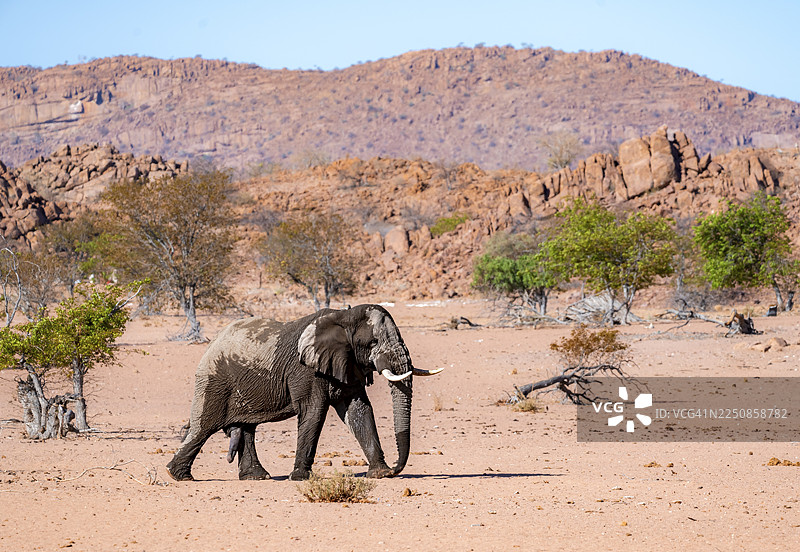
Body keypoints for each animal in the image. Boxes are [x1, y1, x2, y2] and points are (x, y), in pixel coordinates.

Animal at [166, 304, 441, 482]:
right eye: (372, 343)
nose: (396, 468)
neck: (344, 316)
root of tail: (212, 343)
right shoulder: (305, 370)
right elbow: (314, 411)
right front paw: (299, 478)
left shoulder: (346, 363)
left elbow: (359, 410)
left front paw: (380, 474)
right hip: (214, 380)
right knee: (204, 427)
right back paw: (179, 476)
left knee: (246, 428)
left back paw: (256, 477)